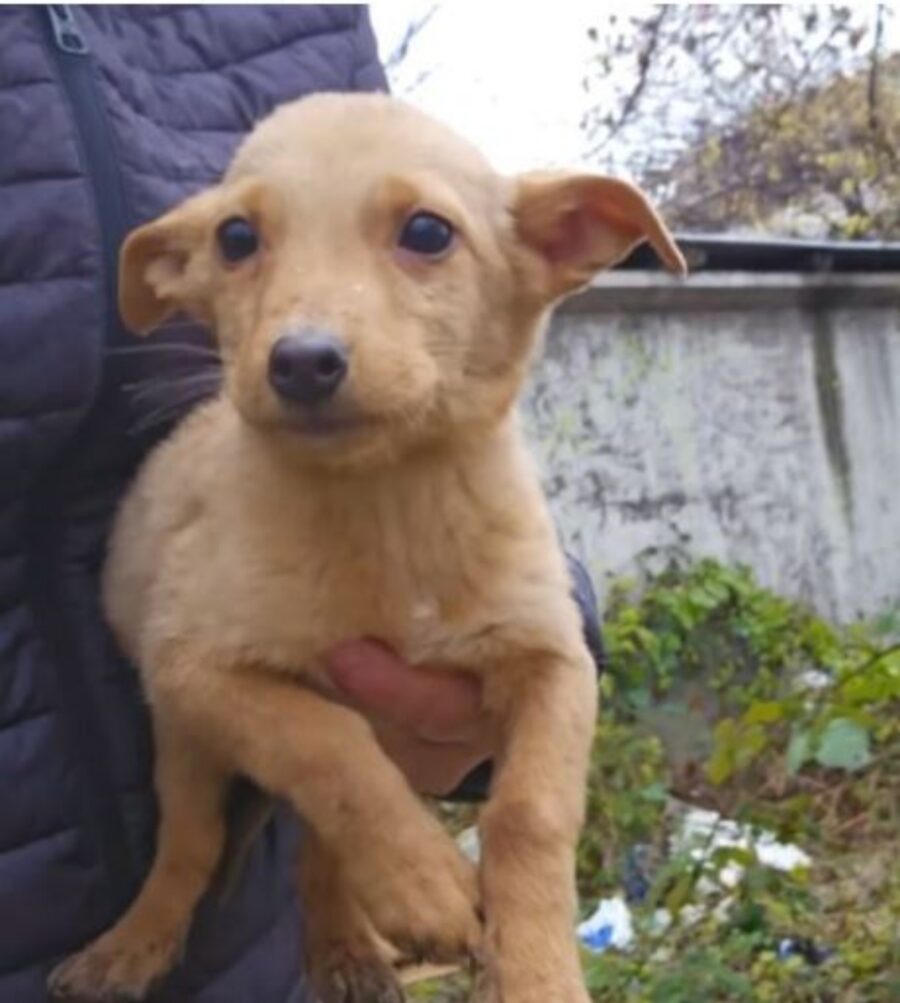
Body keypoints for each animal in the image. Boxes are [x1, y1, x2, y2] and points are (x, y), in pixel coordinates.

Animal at [47, 94, 682, 1003]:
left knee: (314, 851)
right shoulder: (195, 665)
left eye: (427, 231)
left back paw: (346, 946)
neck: (390, 502)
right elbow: (329, 745)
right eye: (235, 238)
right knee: (192, 844)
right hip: (182, 737)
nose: (302, 362)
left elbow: (529, 813)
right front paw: (427, 887)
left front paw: (537, 971)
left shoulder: (554, 658)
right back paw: (131, 947)